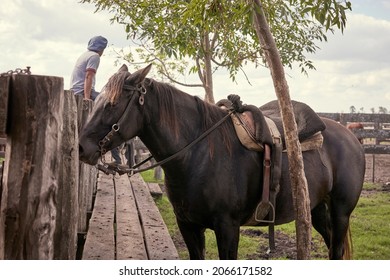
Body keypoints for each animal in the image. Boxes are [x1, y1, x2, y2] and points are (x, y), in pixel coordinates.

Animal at [79, 64, 366, 260]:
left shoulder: (228, 227)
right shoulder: (188, 225)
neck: (198, 154)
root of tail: (351, 137)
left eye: (112, 104)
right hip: (316, 209)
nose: (81, 147)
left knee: (337, 249)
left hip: (341, 212)